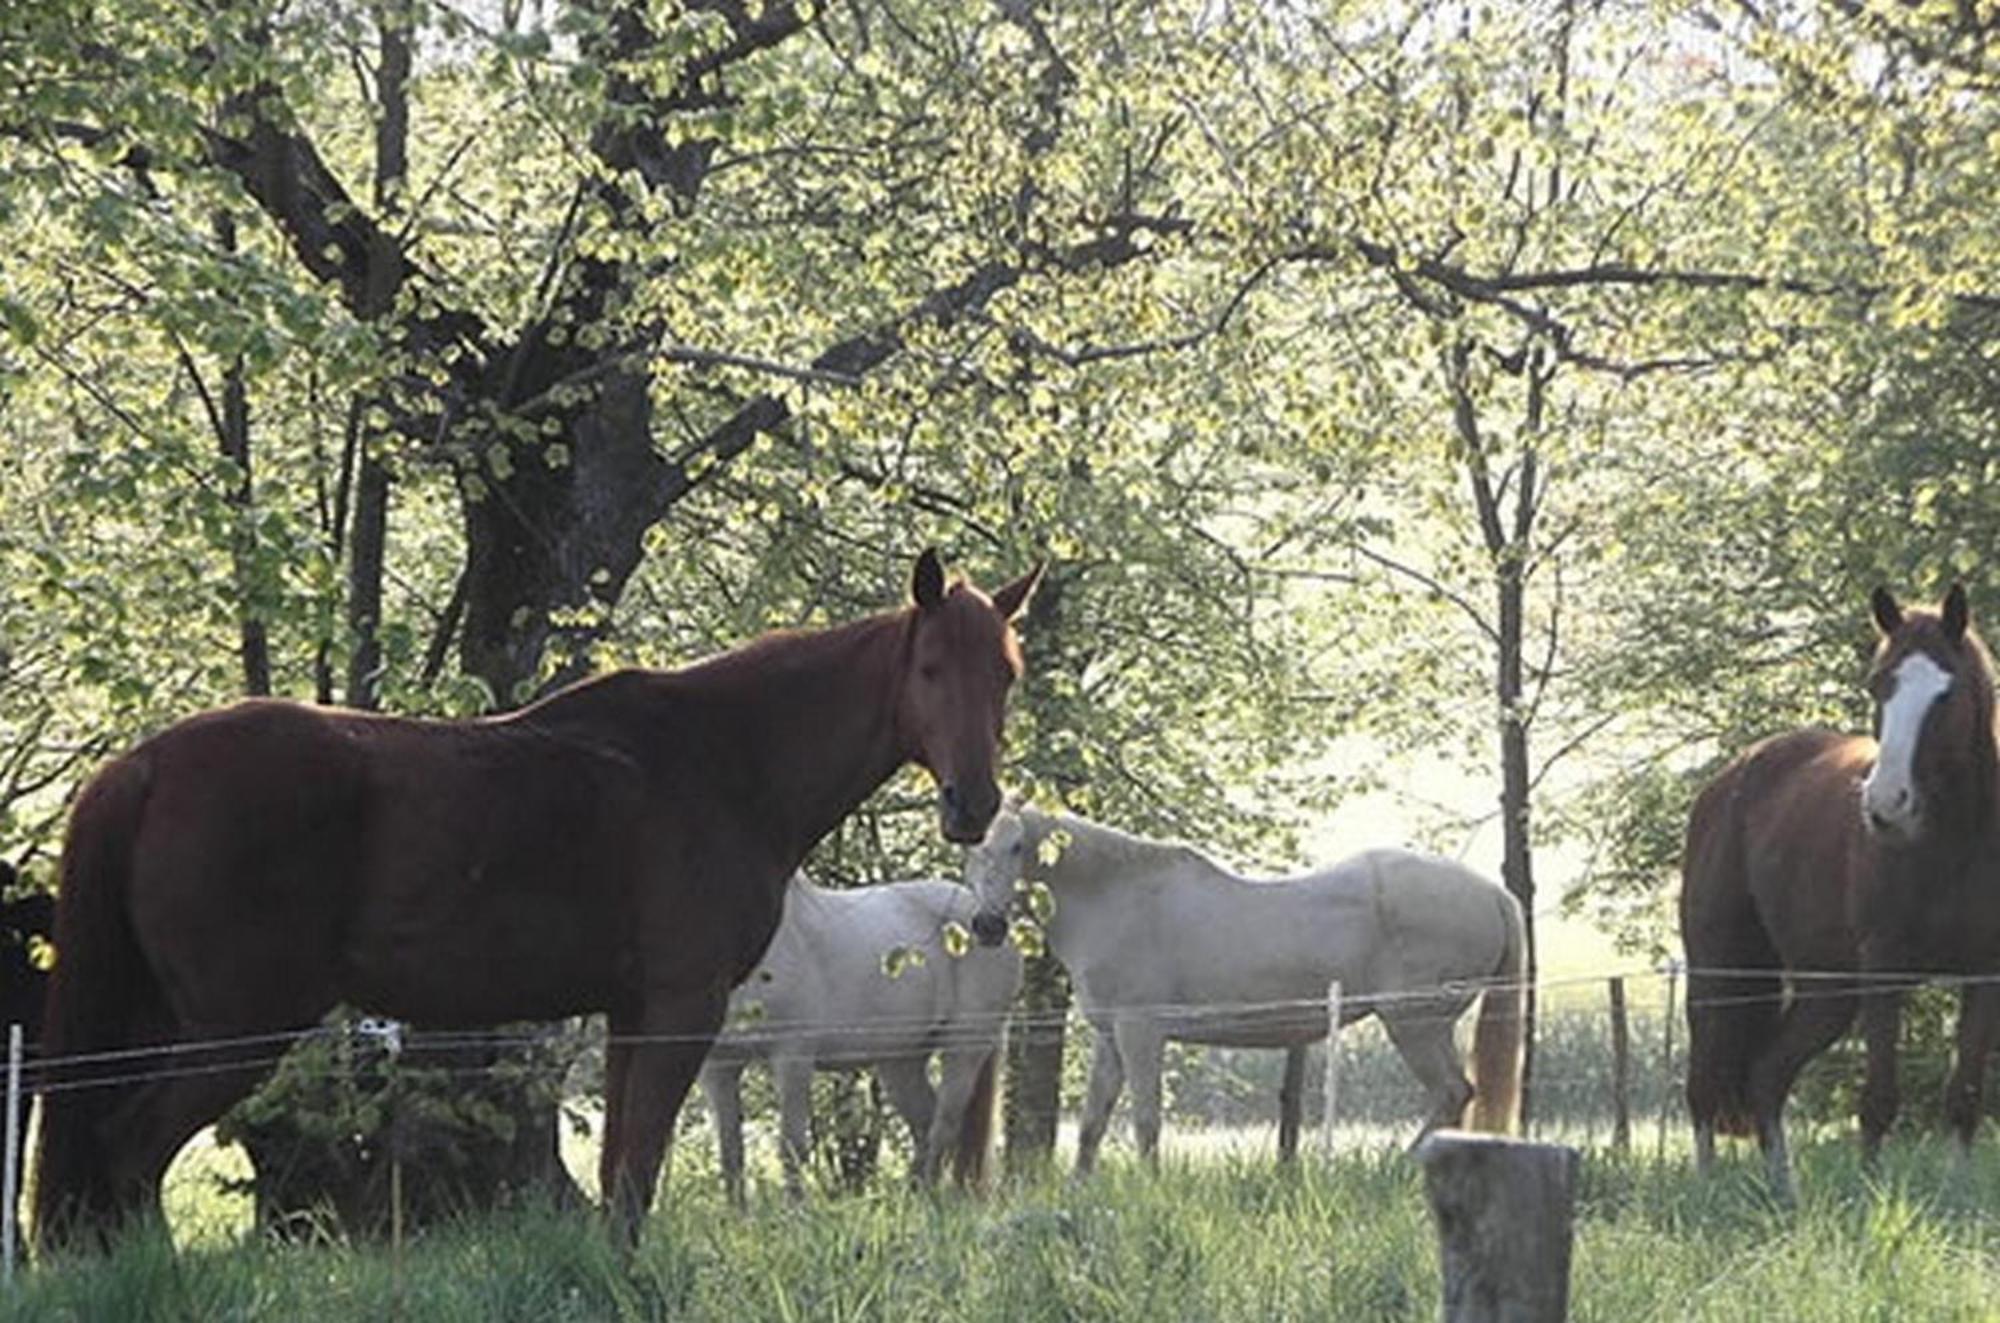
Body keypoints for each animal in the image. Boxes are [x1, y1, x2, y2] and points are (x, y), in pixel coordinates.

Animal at [700, 875, 1016, 1207]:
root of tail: (987, 916)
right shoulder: (718, 1067)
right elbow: (730, 1150)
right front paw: (738, 1215)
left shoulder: (793, 1058)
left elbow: (791, 1146)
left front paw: (795, 1212)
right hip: (901, 1062)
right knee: (924, 1124)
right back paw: (910, 1200)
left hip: (965, 1047)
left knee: (944, 1125)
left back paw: (927, 1201)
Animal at [960, 807, 1520, 1175]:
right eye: (971, 847)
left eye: (1016, 846)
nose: (987, 926)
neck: (1116, 897)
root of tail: (1492, 892)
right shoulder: (1109, 1037)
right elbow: (1094, 1122)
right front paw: (1080, 1189)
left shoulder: (1141, 1032)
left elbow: (1145, 1119)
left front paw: (1150, 1188)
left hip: (1415, 1024)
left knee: (1451, 1091)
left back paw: (1399, 1168)